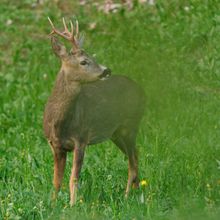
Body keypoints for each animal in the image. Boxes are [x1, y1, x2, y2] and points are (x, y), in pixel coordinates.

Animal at [43, 17, 146, 206]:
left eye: (92, 56)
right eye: (84, 61)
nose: (107, 70)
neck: (60, 123)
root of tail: (142, 91)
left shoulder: (81, 138)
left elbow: (73, 178)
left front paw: (72, 205)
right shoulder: (55, 144)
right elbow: (56, 180)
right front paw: (52, 205)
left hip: (131, 125)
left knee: (132, 162)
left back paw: (127, 197)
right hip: (116, 133)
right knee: (135, 155)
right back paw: (137, 191)